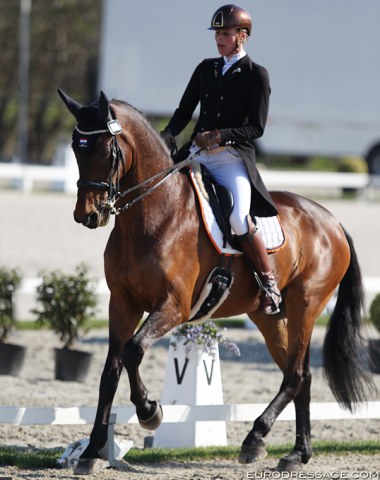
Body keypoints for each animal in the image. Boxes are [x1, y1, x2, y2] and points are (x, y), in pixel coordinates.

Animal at [58, 88, 372, 474]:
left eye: (106, 151)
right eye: (76, 148)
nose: (88, 215)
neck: (154, 215)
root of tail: (332, 221)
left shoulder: (173, 307)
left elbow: (133, 350)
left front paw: (150, 412)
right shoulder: (121, 304)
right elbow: (109, 373)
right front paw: (91, 451)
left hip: (305, 306)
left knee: (297, 374)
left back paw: (256, 438)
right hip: (269, 316)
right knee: (301, 376)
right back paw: (297, 453)